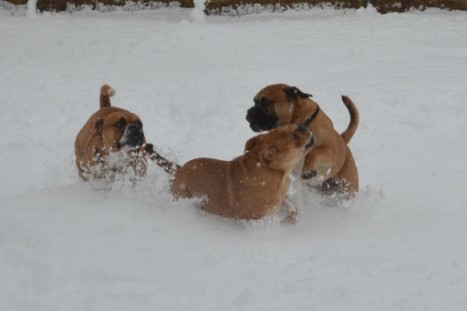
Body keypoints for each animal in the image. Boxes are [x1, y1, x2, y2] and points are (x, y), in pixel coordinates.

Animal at [171, 124, 314, 222]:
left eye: (293, 126)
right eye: (294, 137)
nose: (302, 126)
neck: (277, 174)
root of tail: (178, 170)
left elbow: (290, 206)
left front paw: (292, 213)